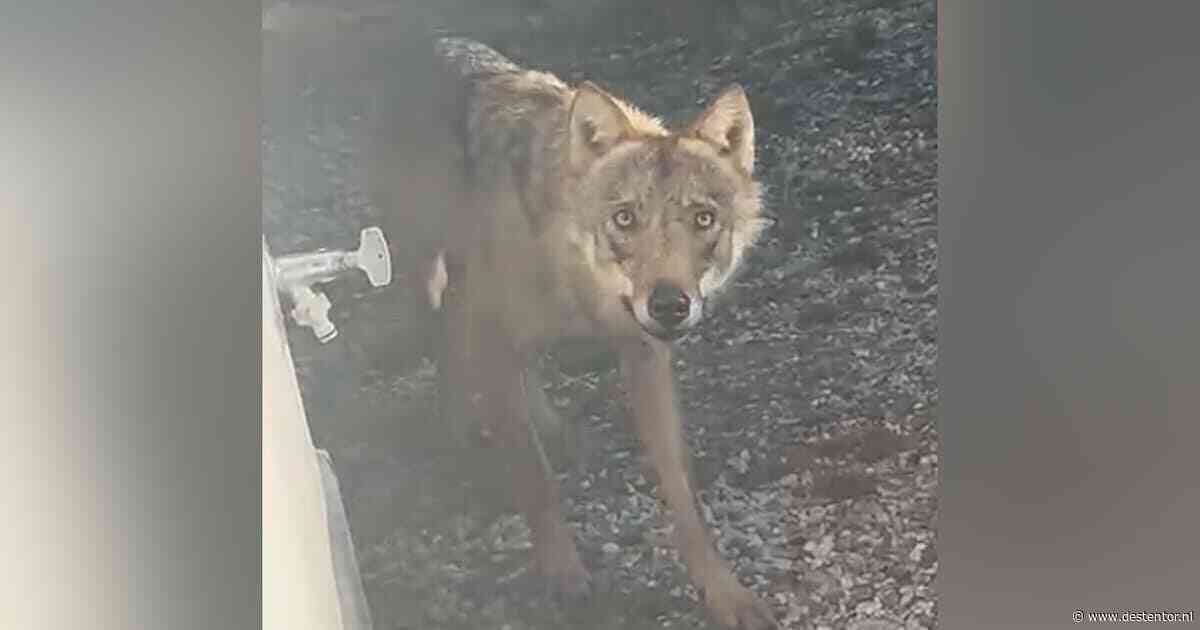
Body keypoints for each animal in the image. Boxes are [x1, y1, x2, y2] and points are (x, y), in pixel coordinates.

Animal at [367, 35, 775, 629]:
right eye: (625, 219)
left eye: (703, 219)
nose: (670, 305)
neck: (579, 288)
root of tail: (427, 42)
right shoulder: (494, 335)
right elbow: (535, 479)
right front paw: (562, 573)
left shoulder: (644, 355)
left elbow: (683, 493)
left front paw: (724, 591)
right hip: (423, 270)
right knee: (442, 342)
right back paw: (460, 435)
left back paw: (547, 426)